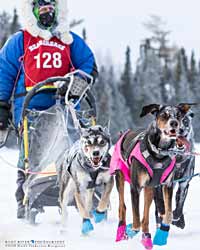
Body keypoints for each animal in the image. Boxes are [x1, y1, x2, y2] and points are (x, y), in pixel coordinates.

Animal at [110, 103, 193, 248]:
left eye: (178, 116)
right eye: (164, 115)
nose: (175, 123)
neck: (159, 153)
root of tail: (125, 133)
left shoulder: (167, 185)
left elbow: (168, 213)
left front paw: (161, 234)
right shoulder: (135, 188)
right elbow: (136, 218)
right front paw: (131, 230)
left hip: (150, 189)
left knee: (146, 215)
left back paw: (146, 237)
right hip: (120, 177)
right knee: (123, 207)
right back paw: (122, 232)